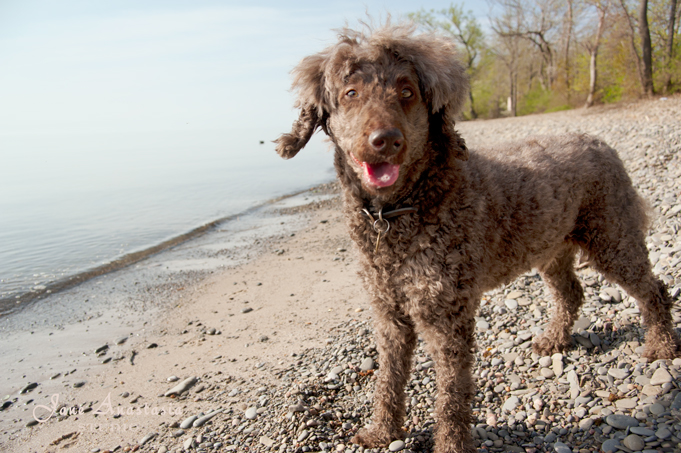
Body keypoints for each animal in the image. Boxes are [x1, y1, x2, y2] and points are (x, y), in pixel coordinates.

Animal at [274, 24, 676, 452]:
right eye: (351, 93)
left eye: (407, 92)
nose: (386, 139)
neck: (400, 211)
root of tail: (599, 142)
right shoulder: (389, 314)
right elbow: (388, 379)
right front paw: (382, 431)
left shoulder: (447, 318)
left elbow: (451, 394)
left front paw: (449, 444)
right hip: (552, 249)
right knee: (570, 293)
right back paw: (554, 340)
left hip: (612, 238)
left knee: (653, 289)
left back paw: (662, 346)